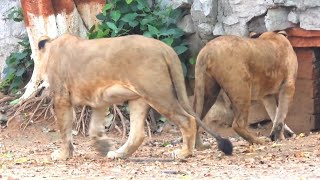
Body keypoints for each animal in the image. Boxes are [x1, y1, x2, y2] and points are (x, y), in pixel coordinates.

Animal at [37, 33, 232, 160]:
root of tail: (165, 48)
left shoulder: (61, 98)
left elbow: (64, 131)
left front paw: (63, 155)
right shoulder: (100, 100)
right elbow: (93, 128)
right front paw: (102, 146)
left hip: (157, 94)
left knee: (188, 119)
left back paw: (184, 153)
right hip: (139, 98)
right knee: (138, 134)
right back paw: (118, 154)